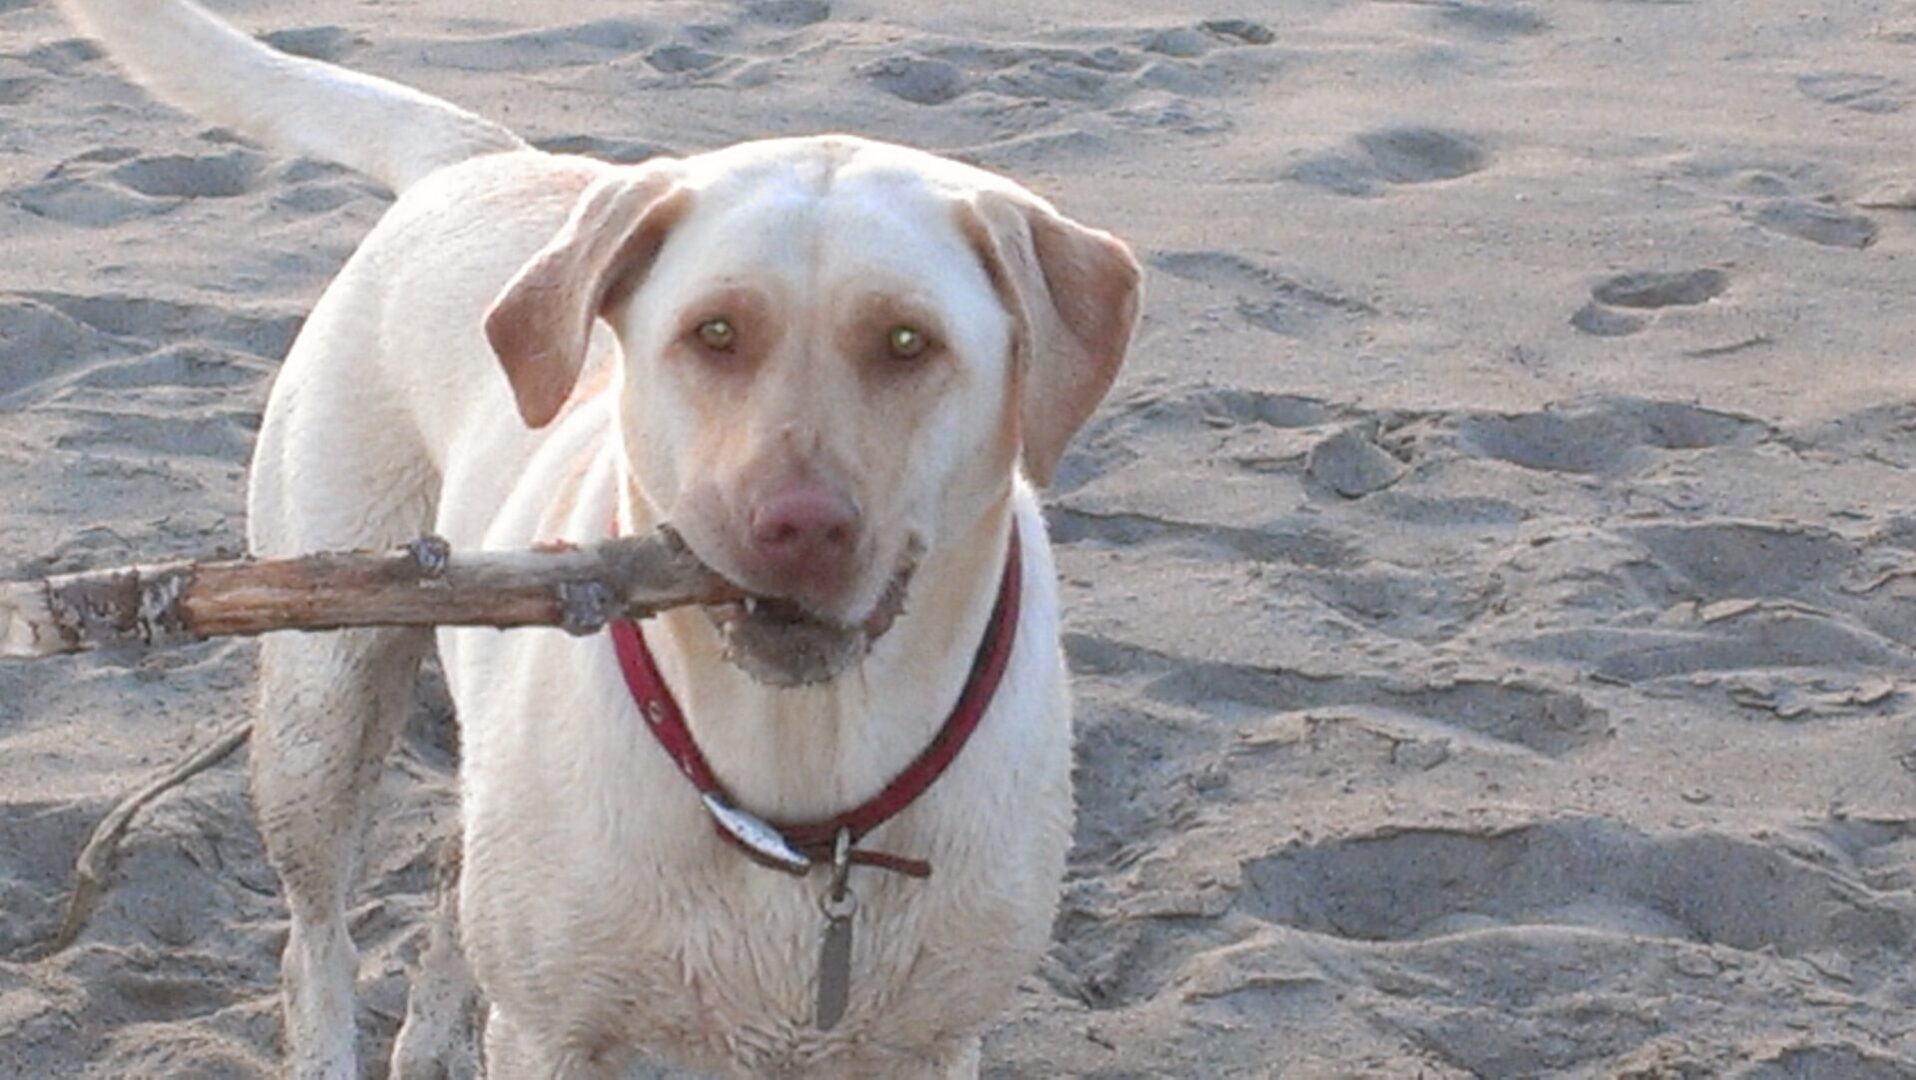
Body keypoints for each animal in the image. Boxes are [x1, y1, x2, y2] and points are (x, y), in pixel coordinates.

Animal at [52, 4, 1141, 1072]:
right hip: (323, 703)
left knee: (450, 886)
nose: (796, 525)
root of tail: (483, 157)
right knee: (315, 944)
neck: (804, 784)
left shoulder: (929, 1041)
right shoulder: (549, 1033)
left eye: (909, 342)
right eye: (713, 333)